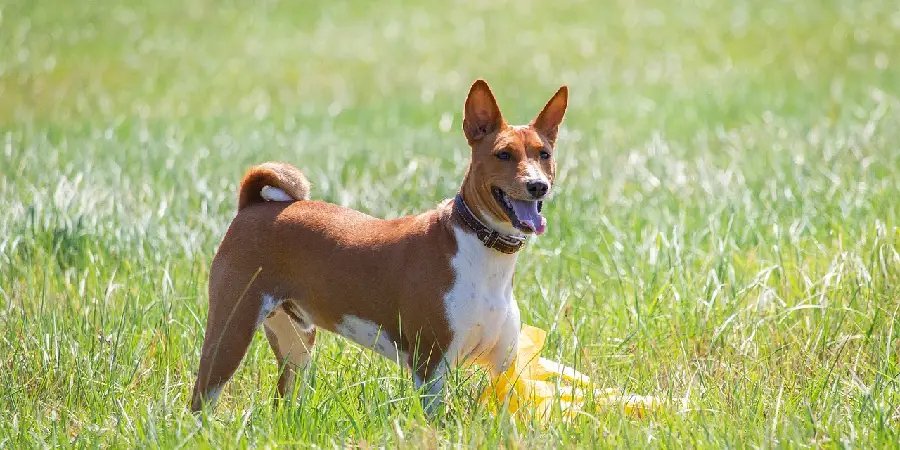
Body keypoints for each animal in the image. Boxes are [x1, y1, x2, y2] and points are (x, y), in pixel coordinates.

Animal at [192, 78, 568, 414]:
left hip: (296, 343)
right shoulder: (431, 367)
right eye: (503, 154)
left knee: (283, 401)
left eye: (544, 154)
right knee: (201, 400)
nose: (537, 185)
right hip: (231, 332)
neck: (483, 251)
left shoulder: (503, 368)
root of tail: (253, 206)